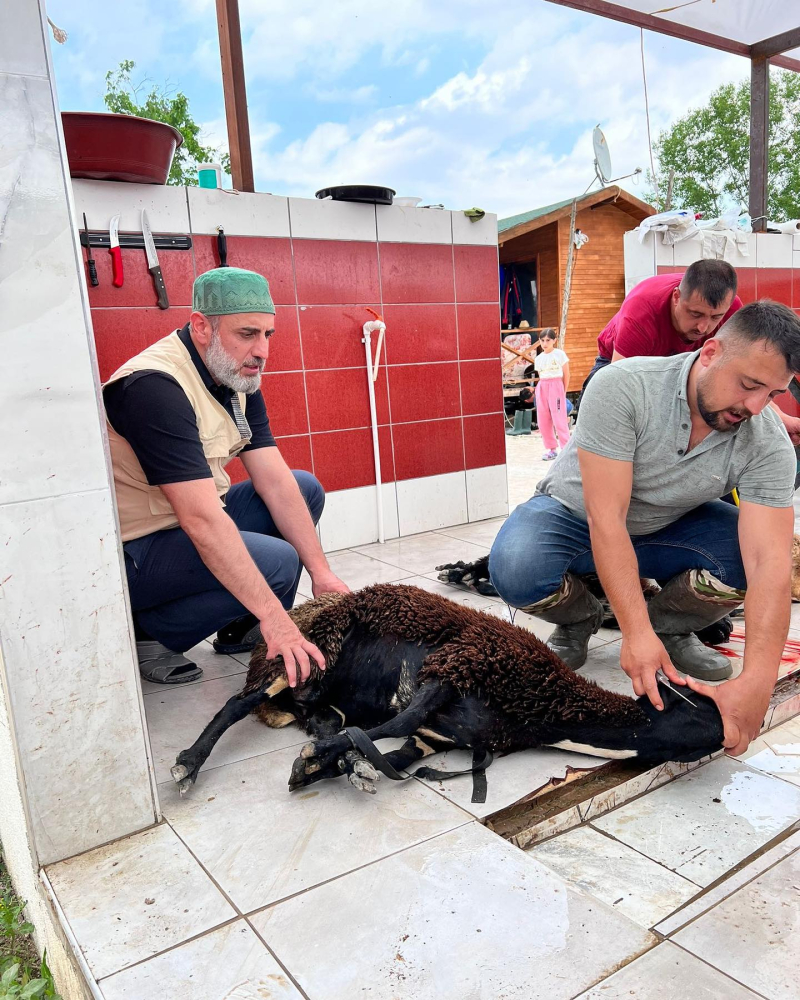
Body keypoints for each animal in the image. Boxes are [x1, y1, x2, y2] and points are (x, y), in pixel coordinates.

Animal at [172, 584, 728, 792]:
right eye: (695, 704)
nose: (733, 736)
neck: (542, 709)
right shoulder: (450, 670)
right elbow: (395, 722)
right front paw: (320, 763)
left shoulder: (437, 738)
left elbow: (393, 750)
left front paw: (336, 766)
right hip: (306, 659)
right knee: (235, 703)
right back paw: (188, 763)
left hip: (319, 698)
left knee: (323, 719)